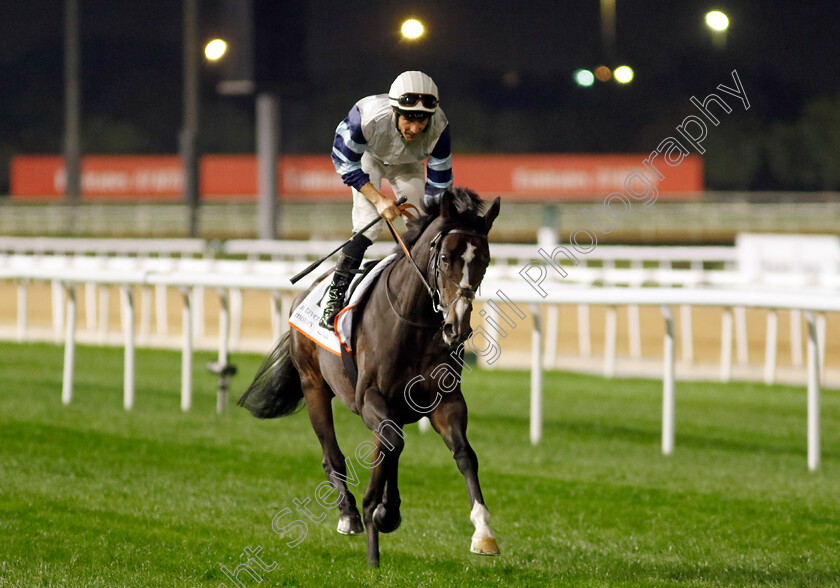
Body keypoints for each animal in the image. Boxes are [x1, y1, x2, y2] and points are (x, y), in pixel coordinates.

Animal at [238, 187, 498, 564]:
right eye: (447, 258)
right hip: (314, 386)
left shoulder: (445, 400)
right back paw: (350, 514)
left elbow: (464, 454)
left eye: (485, 261)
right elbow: (388, 447)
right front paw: (374, 514)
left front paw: (483, 532)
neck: (414, 321)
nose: (457, 327)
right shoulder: (368, 398)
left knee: (391, 446)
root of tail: (304, 293)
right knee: (333, 454)